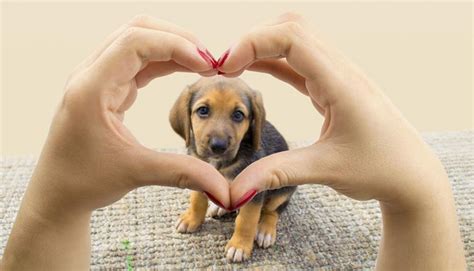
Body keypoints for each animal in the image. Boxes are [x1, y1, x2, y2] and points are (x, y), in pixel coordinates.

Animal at [170, 76, 296, 264]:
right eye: (203, 110)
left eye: (238, 115)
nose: (218, 146)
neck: (219, 163)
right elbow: (197, 201)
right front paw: (192, 218)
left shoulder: (253, 191)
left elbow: (246, 220)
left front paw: (239, 246)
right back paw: (218, 207)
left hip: (283, 189)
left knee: (272, 210)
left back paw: (265, 230)